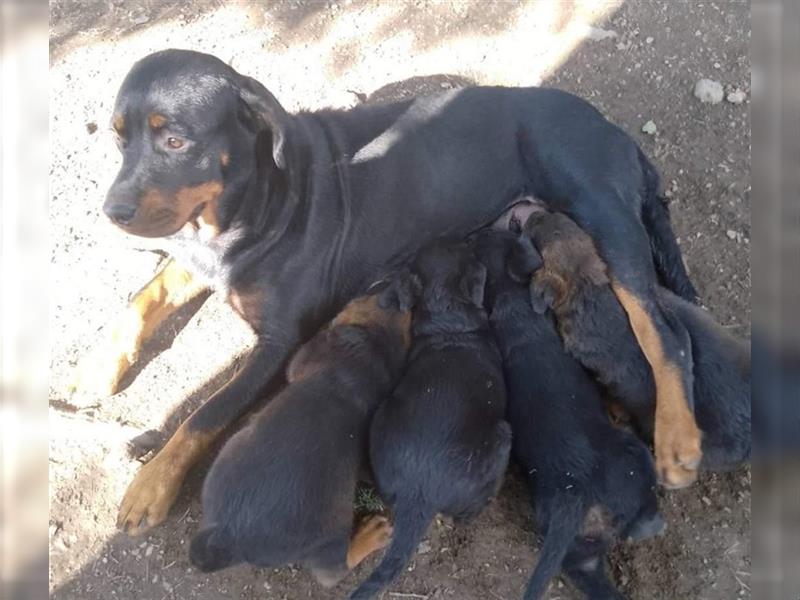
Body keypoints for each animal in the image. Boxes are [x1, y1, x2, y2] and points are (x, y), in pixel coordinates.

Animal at [73, 48, 700, 536]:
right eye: (118, 139)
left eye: (176, 141)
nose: (112, 211)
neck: (250, 201)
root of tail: (622, 139)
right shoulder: (197, 254)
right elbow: (143, 298)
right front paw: (95, 368)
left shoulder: (277, 344)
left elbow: (207, 411)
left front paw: (152, 483)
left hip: (606, 222)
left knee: (665, 333)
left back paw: (677, 439)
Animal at [191, 274, 422, 592]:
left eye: (374, 286)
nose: (411, 278)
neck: (374, 343)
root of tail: (231, 536)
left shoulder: (303, 359)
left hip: (332, 530)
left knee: (333, 571)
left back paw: (371, 534)